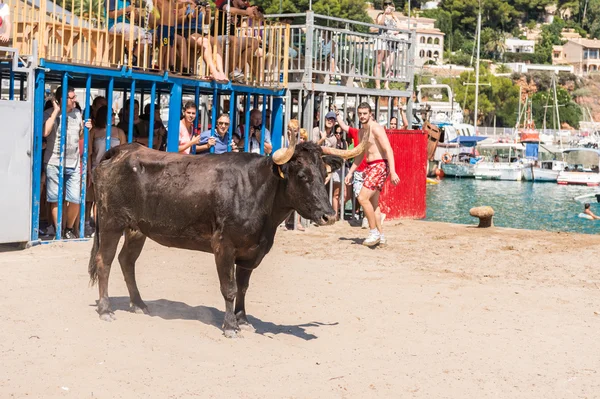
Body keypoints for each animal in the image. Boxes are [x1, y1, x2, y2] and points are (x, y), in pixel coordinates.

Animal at [86, 137, 364, 338]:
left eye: (324, 175)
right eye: (303, 176)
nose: (329, 215)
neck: (257, 190)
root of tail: (123, 150)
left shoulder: (252, 251)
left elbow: (243, 287)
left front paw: (244, 320)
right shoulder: (224, 246)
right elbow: (229, 288)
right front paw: (230, 325)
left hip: (137, 229)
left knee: (126, 261)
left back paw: (139, 305)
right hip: (111, 222)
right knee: (104, 261)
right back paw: (105, 309)